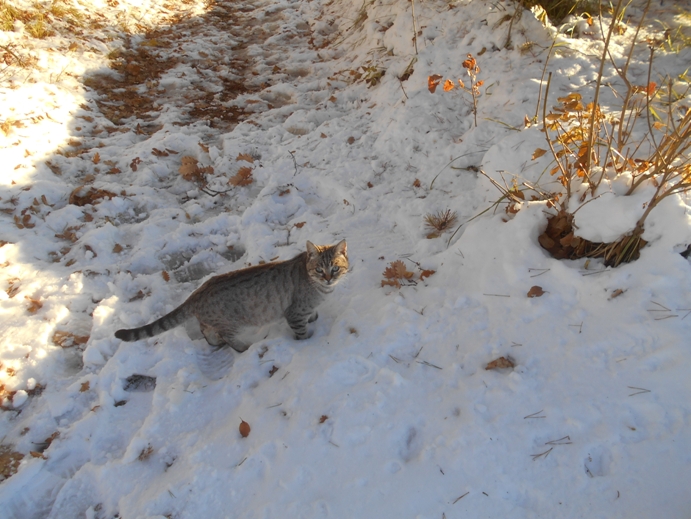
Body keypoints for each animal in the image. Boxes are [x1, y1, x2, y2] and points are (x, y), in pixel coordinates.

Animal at [115, 241, 348, 358]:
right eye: (319, 270)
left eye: (335, 268)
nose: (329, 278)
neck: (321, 290)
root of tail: (198, 292)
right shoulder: (295, 314)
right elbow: (302, 333)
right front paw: (308, 342)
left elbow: (313, 315)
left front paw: (315, 319)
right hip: (232, 323)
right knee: (225, 336)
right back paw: (242, 349)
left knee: (205, 330)